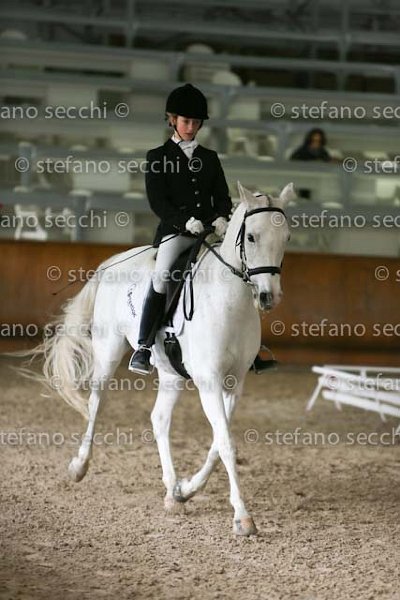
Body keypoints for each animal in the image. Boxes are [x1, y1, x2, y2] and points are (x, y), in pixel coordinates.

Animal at [26, 181, 294, 536]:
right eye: (251, 237)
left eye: (286, 237)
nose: (268, 297)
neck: (229, 302)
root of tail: (115, 260)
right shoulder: (209, 382)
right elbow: (226, 443)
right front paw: (242, 516)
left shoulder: (233, 384)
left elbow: (217, 443)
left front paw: (188, 489)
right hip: (108, 350)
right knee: (96, 403)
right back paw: (79, 466)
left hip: (170, 373)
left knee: (159, 419)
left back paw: (172, 491)